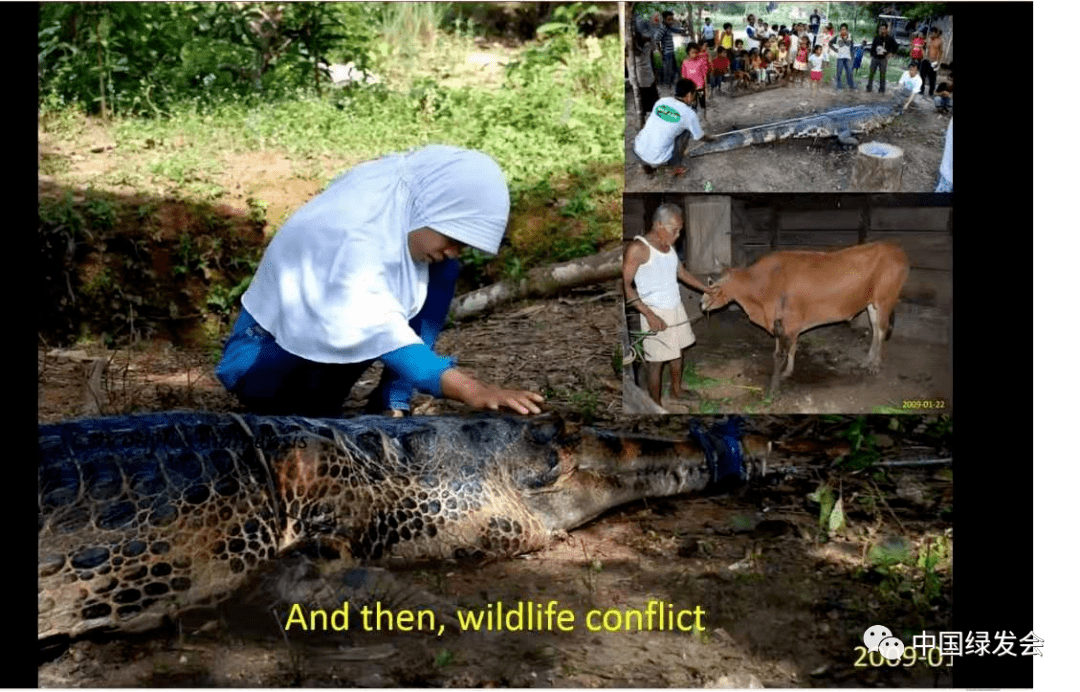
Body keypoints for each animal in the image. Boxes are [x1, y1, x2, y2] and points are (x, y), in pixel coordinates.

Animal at [699, 241, 911, 392]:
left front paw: (784, 373)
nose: (701, 303)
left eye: (713, 284)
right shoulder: (781, 322)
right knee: (875, 328)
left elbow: (789, 349)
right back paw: (868, 360)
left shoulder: (791, 322)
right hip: (871, 304)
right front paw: (784, 368)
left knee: (881, 330)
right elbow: (785, 348)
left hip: (885, 300)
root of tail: (896, 249)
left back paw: (875, 364)